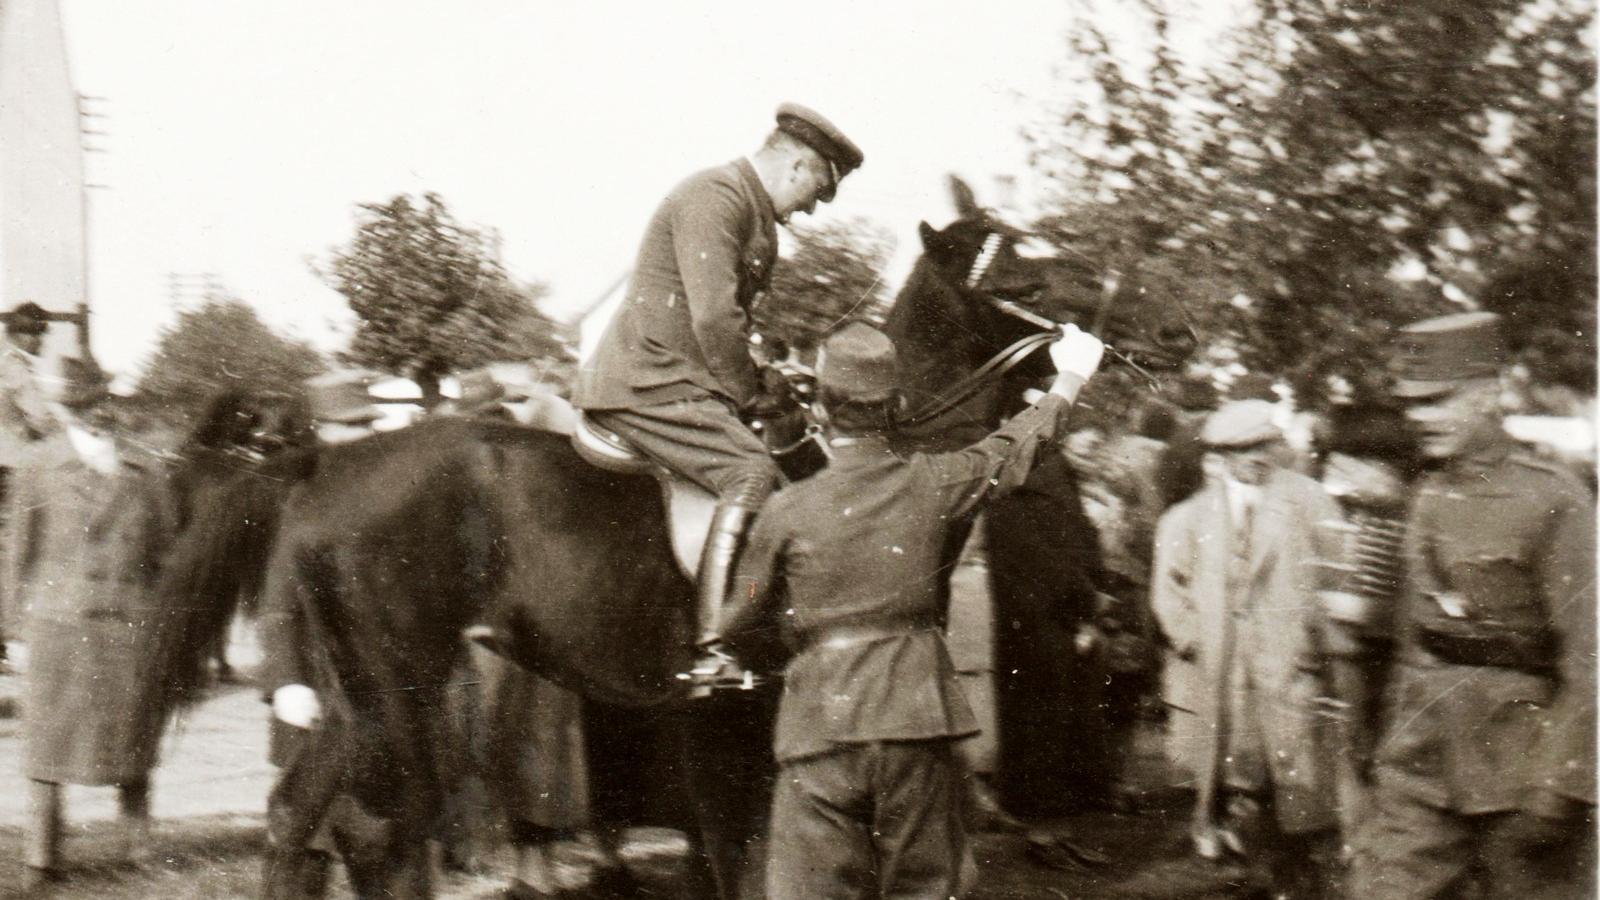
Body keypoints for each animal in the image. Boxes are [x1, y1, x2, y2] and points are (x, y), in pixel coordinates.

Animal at [144, 184, 1196, 896]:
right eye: (1026, 264)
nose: (1177, 327)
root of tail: (316, 463)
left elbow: (734, 851)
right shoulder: (744, 723)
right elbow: (749, 854)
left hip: (349, 693)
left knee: (315, 823)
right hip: (394, 688)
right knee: (364, 829)